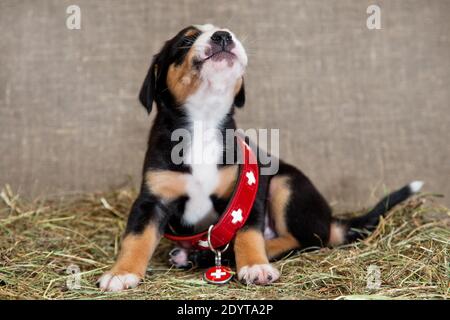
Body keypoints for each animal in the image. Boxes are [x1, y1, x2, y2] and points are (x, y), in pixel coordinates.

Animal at [97, 23, 422, 292]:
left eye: (222, 30)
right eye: (186, 40)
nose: (223, 36)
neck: (203, 121)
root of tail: (330, 221)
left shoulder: (249, 189)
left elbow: (248, 233)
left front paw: (254, 265)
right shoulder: (152, 200)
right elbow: (136, 238)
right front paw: (122, 273)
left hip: (285, 184)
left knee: (304, 240)